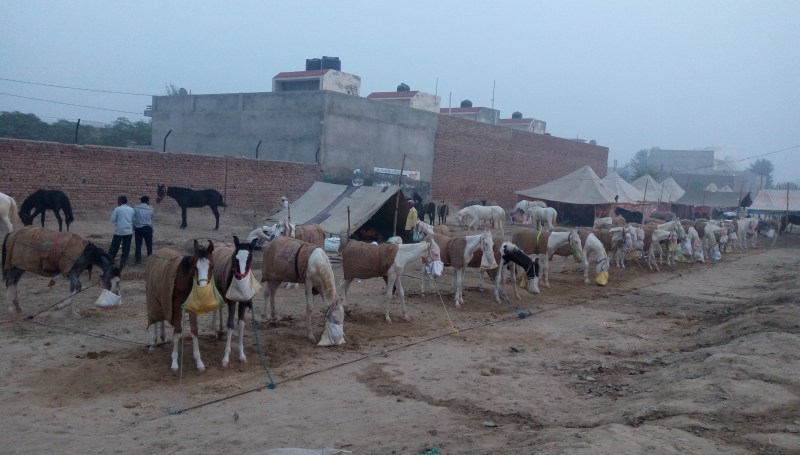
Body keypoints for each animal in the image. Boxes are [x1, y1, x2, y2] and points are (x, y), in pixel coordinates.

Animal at [146, 240, 218, 372]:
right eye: (195, 267)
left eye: (212, 266)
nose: (203, 288)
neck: (183, 279)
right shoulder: (176, 306)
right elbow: (177, 330)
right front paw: (174, 362)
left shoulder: (191, 306)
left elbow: (194, 330)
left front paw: (199, 362)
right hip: (153, 297)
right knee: (155, 320)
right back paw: (153, 344)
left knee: (161, 317)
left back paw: (163, 340)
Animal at [212, 235, 260, 367]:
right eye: (235, 257)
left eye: (250, 258)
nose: (239, 277)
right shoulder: (232, 301)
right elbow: (231, 324)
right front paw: (226, 358)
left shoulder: (243, 301)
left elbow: (241, 324)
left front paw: (241, 355)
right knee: (216, 307)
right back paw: (214, 330)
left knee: (220, 306)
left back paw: (220, 329)